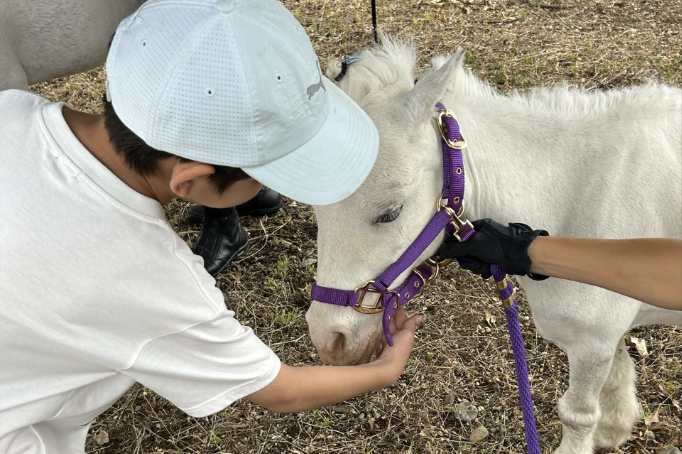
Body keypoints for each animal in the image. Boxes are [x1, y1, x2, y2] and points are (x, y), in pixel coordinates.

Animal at [307, 37, 682, 453]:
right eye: (316, 210)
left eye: (390, 213)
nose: (331, 340)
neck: (572, 197)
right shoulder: (607, 336)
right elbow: (617, 377)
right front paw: (615, 431)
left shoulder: (592, 344)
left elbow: (579, 416)